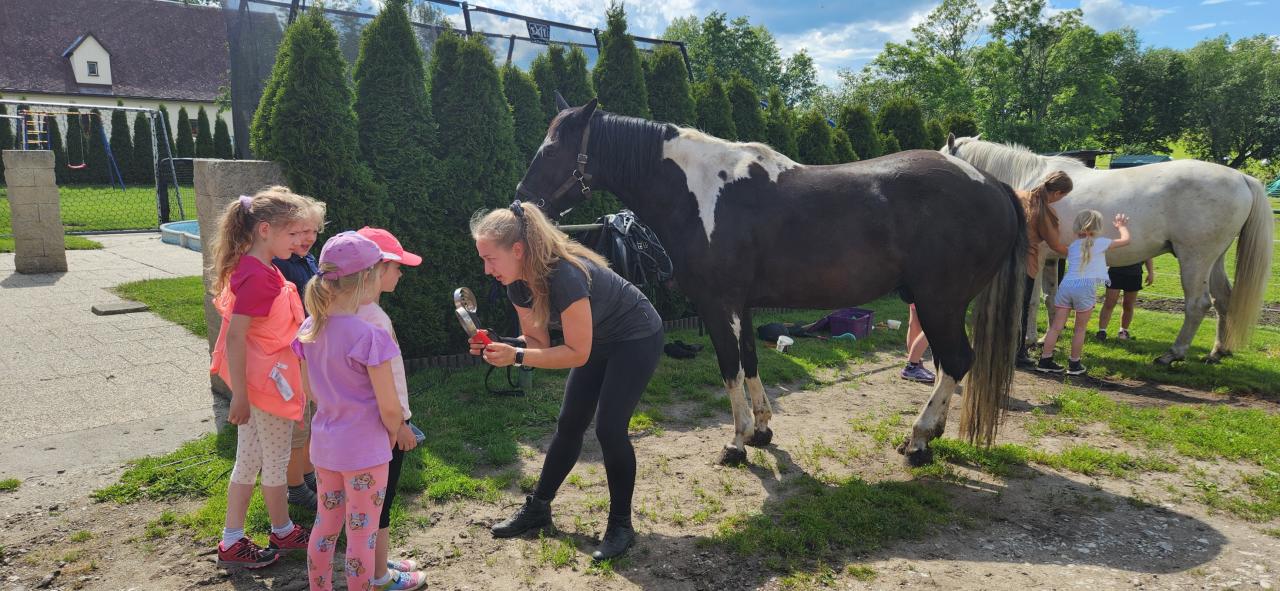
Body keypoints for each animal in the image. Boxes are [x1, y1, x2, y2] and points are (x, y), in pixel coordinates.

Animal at [515, 94, 1028, 466]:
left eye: (553, 148)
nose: (522, 203)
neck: (699, 193)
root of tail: (992, 184)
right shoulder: (742, 305)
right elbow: (751, 360)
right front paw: (761, 430)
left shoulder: (717, 304)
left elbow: (729, 367)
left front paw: (737, 442)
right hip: (938, 304)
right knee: (947, 364)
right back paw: (930, 434)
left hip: (940, 301)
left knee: (957, 361)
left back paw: (918, 442)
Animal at [944, 135, 1273, 364]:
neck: (1032, 181)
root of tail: (1242, 177)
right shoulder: (1051, 260)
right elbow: (1051, 300)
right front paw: (1045, 338)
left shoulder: (1035, 258)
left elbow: (1033, 301)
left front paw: (1028, 340)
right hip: (1214, 259)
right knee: (1223, 300)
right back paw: (1218, 352)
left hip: (1195, 258)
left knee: (1198, 304)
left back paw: (1172, 354)